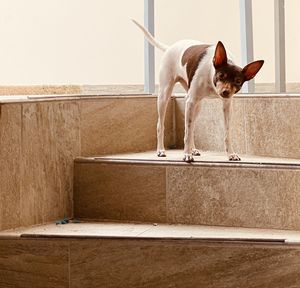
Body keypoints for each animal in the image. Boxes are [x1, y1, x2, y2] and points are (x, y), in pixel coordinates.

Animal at [132, 19, 264, 163]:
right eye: (221, 75)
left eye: (238, 81)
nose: (225, 92)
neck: (211, 79)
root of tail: (170, 47)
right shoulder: (190, 101)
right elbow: (187, 131)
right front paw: (186, 154)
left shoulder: (226, 106)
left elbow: (226, 132)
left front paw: (231, 154)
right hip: (165, 95)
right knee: (161, 125)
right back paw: (161, 150)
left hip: (197, 105)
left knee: (192, 126)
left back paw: (193, 149)